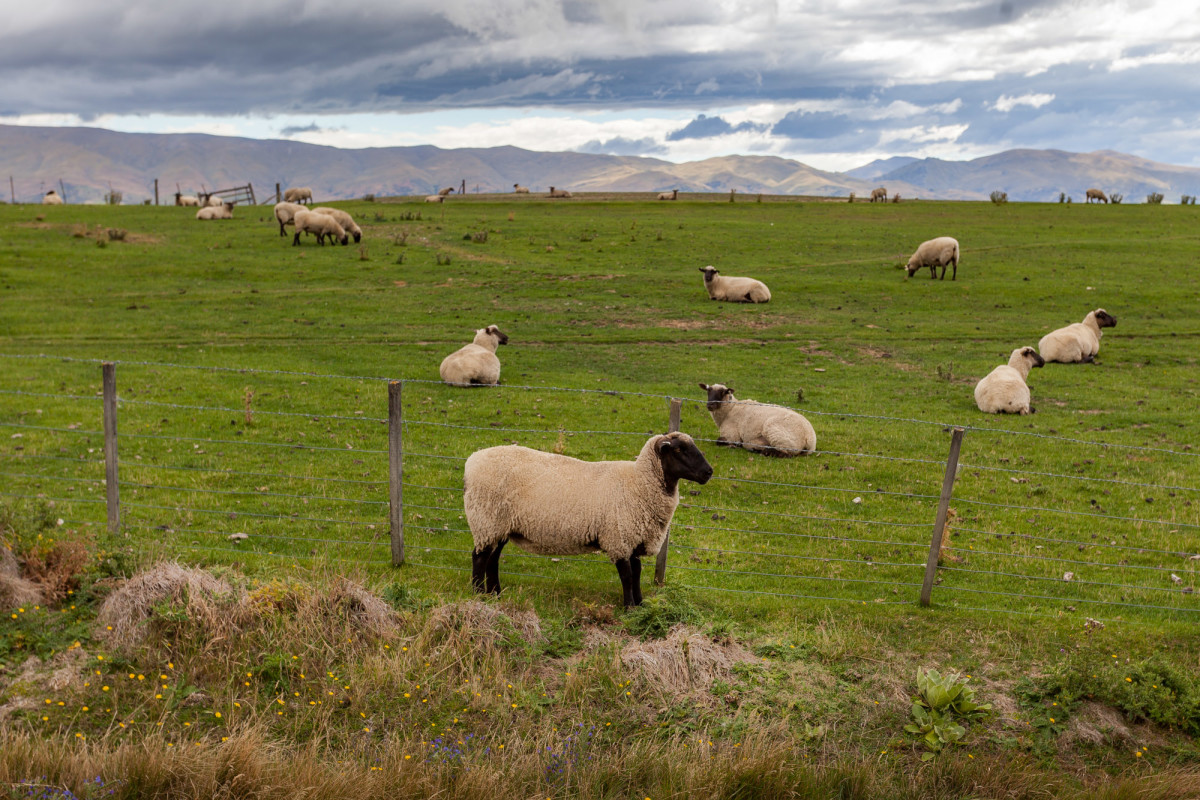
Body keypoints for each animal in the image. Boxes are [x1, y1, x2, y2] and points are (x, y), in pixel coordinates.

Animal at [460, 431, 710, 606]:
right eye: (679, 450)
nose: (709, 472)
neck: (638, 482)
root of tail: (471, 461)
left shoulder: (632, 538)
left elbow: (637, 572)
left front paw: (640, 604)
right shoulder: (618, 538)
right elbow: (627, 575)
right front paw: (629, 607)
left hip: (499, 526)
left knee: (492, 559)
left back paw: (496, 594)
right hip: (486, 520)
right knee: (479, 558)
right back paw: (478, 595)